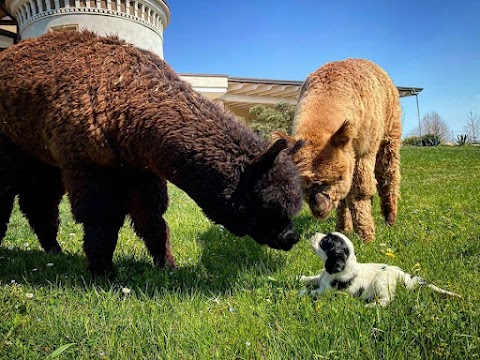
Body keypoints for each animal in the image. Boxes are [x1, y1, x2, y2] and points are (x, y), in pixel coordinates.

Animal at [300, 232, 462, 306]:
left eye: (325, 241)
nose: (313, 233)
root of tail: (403, 275)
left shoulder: (326, 291)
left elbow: (312, 292)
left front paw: (300, 292)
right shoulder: (321, 278)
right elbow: (314, 278)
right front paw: (301, 278)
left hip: (381, 281)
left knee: (387, 300)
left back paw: (371, 306)